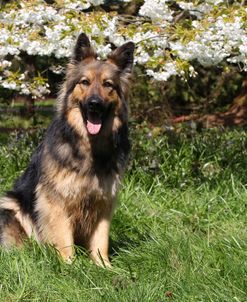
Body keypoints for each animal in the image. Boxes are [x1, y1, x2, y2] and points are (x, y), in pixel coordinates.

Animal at [0, 33, 135, 266]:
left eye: (108, 84)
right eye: (85, 82)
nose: (94, 104)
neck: (90, 147)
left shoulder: (104, 202)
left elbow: (101, 240)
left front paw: (105, 267)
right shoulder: (55, 201)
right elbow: (64, 239)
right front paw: (69, 266)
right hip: (10, 204)